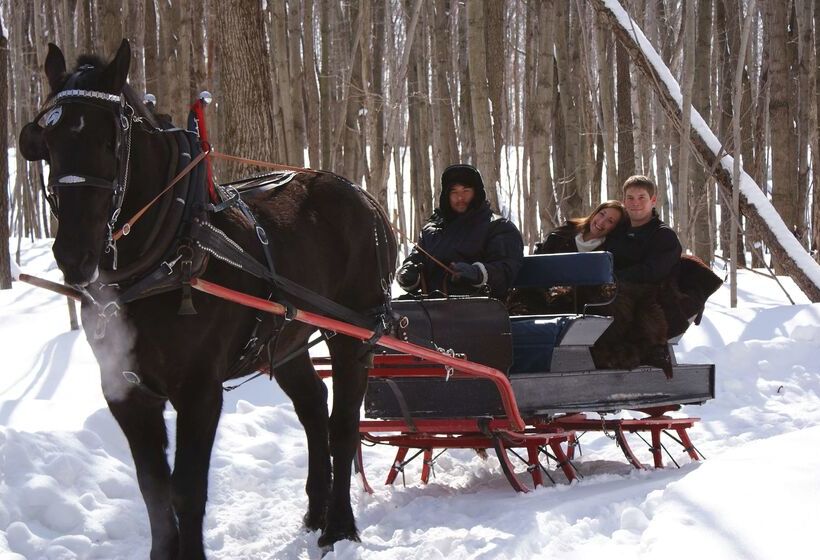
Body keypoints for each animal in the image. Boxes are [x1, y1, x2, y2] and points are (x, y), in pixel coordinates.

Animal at [16, 40, 394, 560]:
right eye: (45, 142)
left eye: (110, 141)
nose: (74, 254)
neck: (165, 253)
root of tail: (364, 196)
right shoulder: (126, 392)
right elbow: (153, 490)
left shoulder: (199, 391)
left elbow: (187, 489)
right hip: (285, 339)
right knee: (314, 408)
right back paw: (316, 513)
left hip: (352, 332)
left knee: (342, 426)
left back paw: (339, 526)